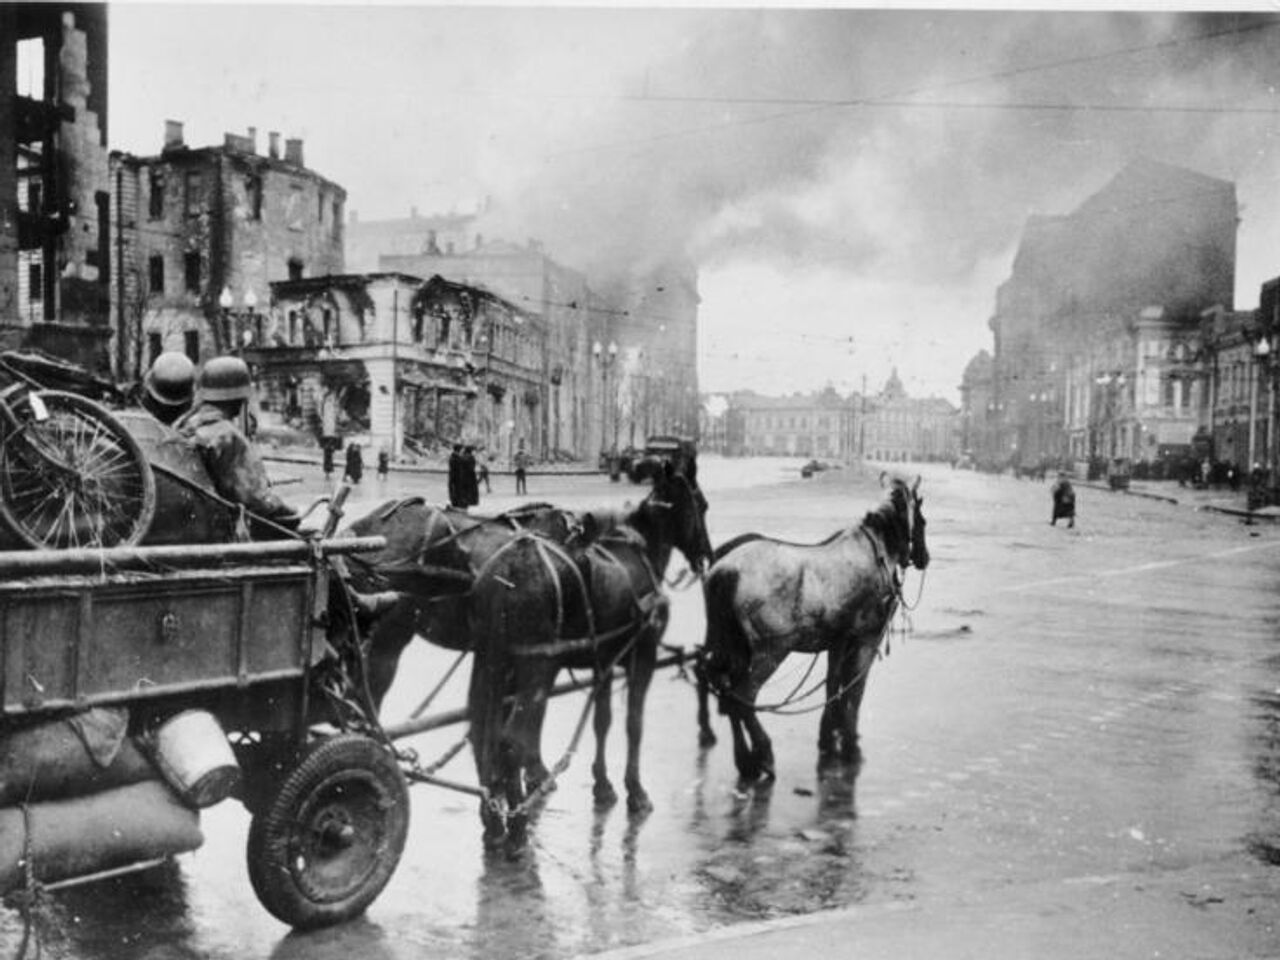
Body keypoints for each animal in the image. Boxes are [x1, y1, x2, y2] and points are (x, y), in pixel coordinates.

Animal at [468, 471, 711, 844]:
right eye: (701, 505)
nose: (706, 556)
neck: (636, 552)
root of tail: (508, 569)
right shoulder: (643, 656)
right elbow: (633, 723)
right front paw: (635, 791)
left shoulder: (604, 662)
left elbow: (602, 721)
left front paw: (603, 785)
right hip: (536, 667)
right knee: (510, 740)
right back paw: (518, 821)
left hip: (491, 660)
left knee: (484, 732)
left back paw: (493, 818)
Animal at [701, 473, 931, 783]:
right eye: (922, 520)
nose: (924, 557)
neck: (876, 554)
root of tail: (726, 570)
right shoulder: (864, 640)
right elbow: (854, 689)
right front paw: (849, 743)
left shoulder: (837, 643)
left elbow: (833, 686)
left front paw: (828, 738)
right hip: (771, 651)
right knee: (744, 696)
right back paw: (764, 754)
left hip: (733, 649)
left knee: (727, 693)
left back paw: (746, 762)